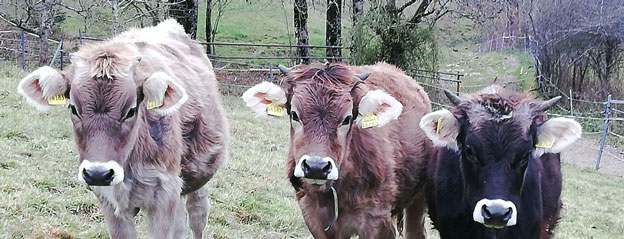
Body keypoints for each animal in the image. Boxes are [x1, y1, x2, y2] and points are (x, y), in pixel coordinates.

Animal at [15, 19, 228, 238]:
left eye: (131, 110)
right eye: (73, 108)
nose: (98, 173)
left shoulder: (164, 194)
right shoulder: (109, 199)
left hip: (198, 177)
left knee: (197, 215)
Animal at [241, 62, 436, 238]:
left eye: (347, 118)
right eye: (294, 114)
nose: (316, 167)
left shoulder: (378, 221)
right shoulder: (313, 218)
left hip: (418, 199)